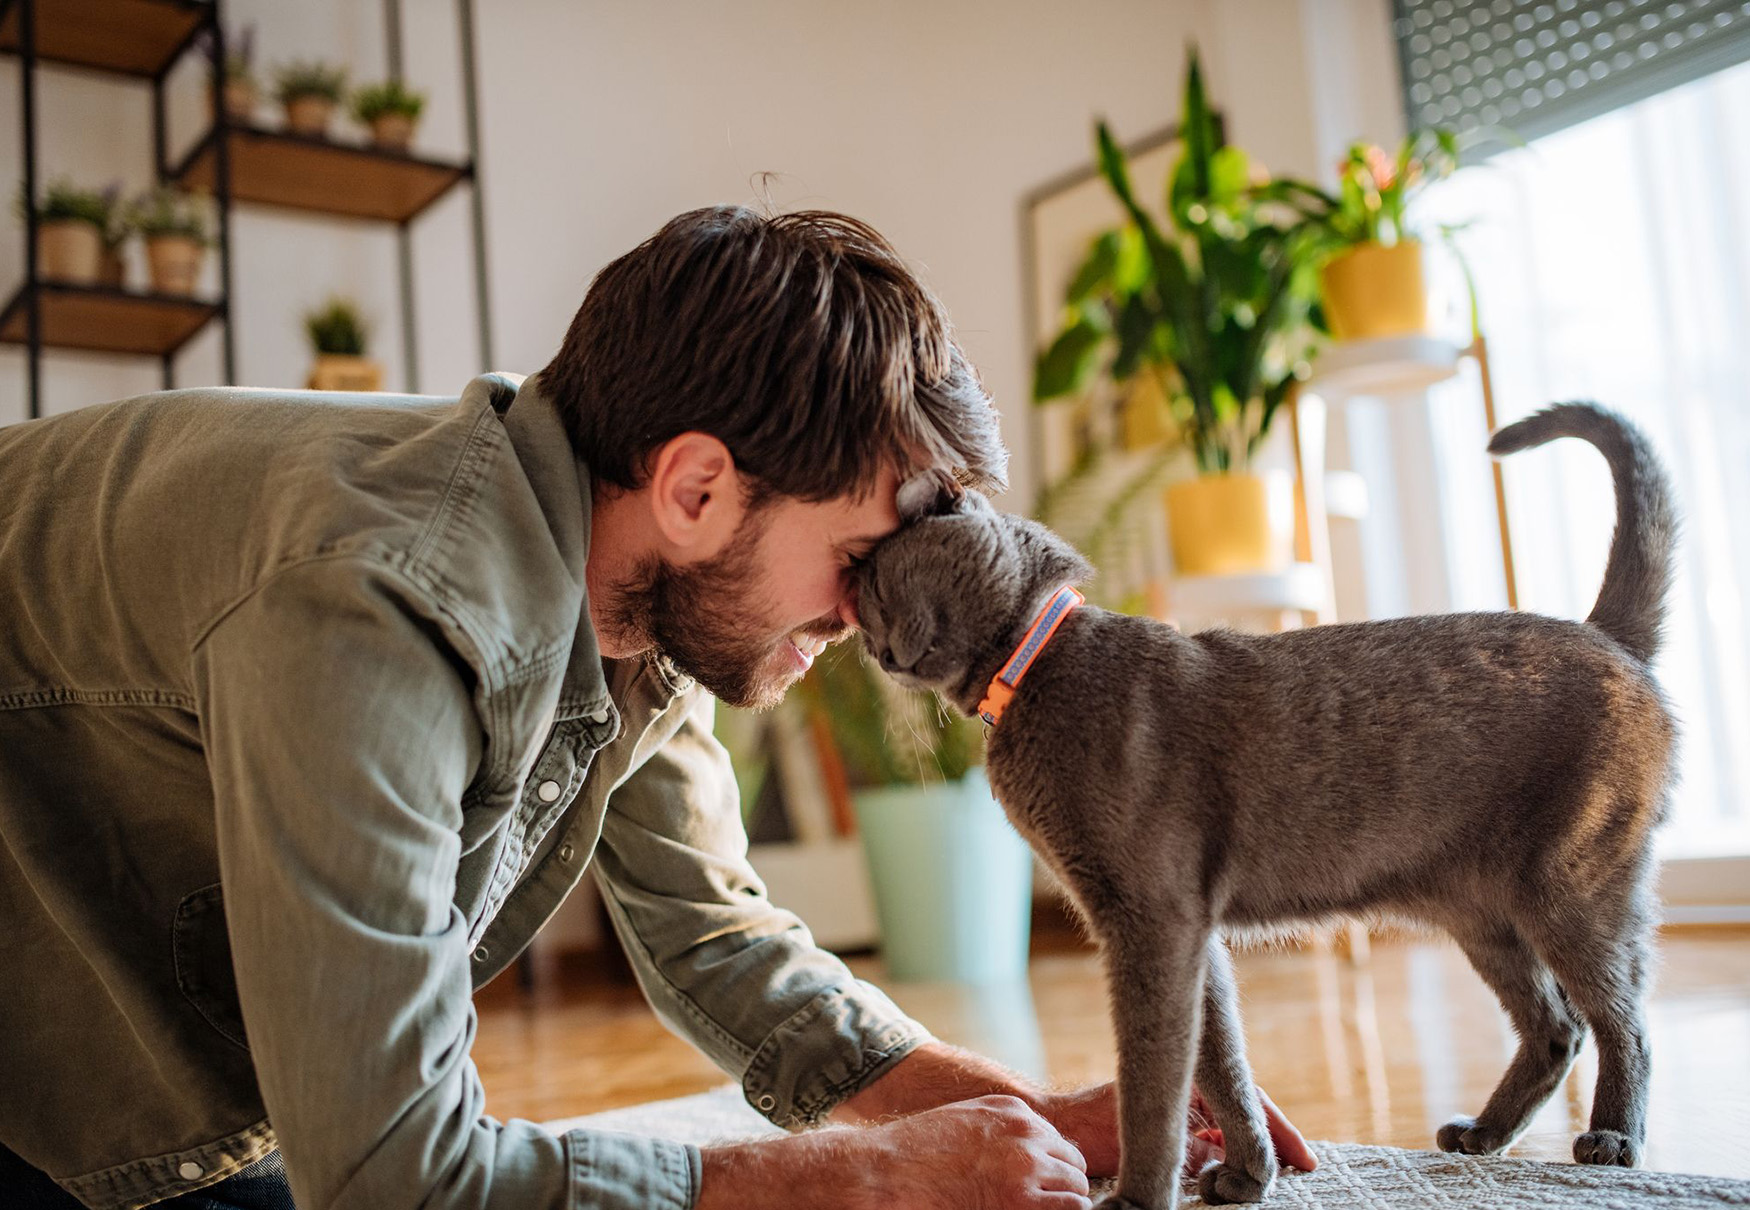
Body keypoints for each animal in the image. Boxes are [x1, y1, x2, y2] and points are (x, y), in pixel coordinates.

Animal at [854, 406, 1673, 1210]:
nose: (877, 654)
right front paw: (1250, 1173)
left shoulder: (1151, 920)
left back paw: (1612, 1140)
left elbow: (1154, 1080)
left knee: (1622, 1019)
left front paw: (1139, 1196)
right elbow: (1219, 1061)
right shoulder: (1190, 930)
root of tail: (1605, 635)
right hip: (1479, 911)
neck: (1034, 668)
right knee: (1558, 1028)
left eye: (877, 594)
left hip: (1570, 886)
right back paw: (1483, 1134)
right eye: (861, 620)